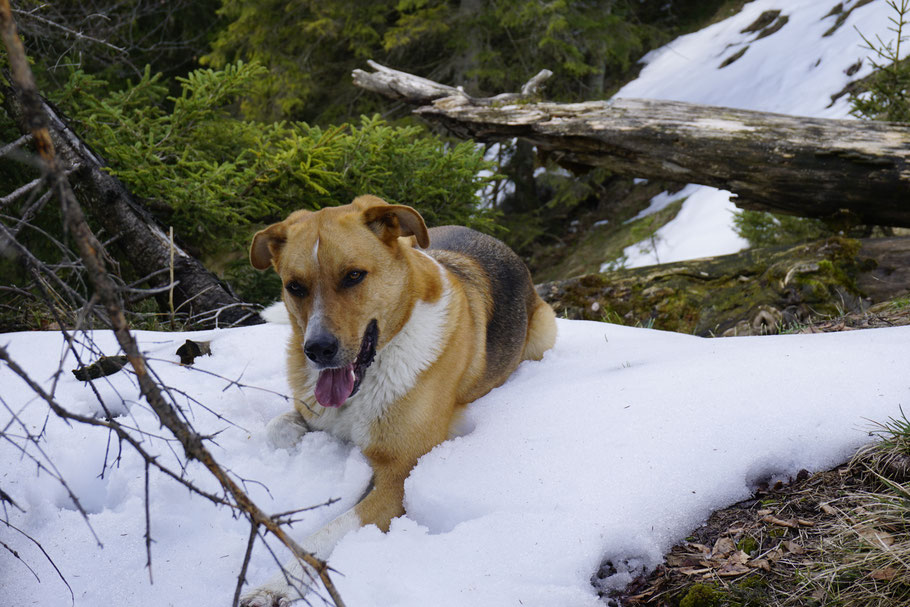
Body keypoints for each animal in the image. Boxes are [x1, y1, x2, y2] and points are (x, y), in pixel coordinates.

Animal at [242, 197, 556, 604]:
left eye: (353, 276)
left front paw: (278, 582)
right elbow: (277, 429)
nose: (318, 350)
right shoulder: (312, 410)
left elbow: (327, 533)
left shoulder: (399, 477)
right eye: (295, 286)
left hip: (544, 331)